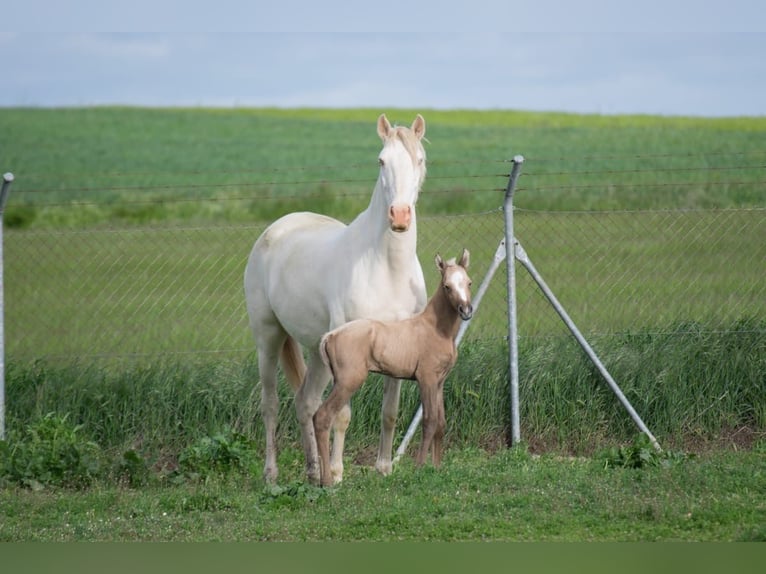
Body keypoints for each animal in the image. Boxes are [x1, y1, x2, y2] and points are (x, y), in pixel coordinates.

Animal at [244, 113, 428, 486]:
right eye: (381, 161)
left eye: (419, 160)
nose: (400, 216)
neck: (388, 268)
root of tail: (276, 228)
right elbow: (342, 414)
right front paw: (340, 472)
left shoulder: (398, 347)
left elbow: (389, 411)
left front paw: (383, 467)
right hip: (268, 337)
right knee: (271, 405)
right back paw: (273, 473)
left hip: (317, 352)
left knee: (306, 402)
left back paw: (314, 471)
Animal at [314, 250, 474, 488]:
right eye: (447, 286)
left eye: (469, 282)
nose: (466, 310)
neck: (436, 329)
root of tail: (330, 336)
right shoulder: (426, 378)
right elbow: (429, 420)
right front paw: (419, 468)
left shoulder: (439, 382)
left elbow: (441, 422)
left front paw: (437, 469)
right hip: (348, 382)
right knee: (322, 416)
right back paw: (327, 481)